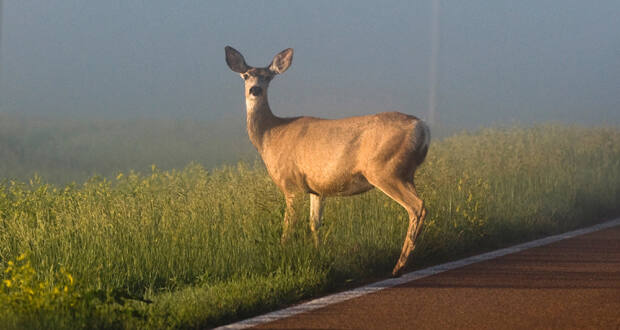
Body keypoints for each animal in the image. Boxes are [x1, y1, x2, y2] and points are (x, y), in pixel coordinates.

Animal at [224, 45, 432, 274]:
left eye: (268, 77)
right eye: (246, 75)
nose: (255, 90)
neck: (270, 134)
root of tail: (422, 127)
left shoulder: (291, 184)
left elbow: (288, 225)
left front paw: (282, 253)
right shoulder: (317, 189)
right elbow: (314, 223)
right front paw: (319, 255)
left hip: (385, 170)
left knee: (417, 207)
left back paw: (399, 265)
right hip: (405, 173)